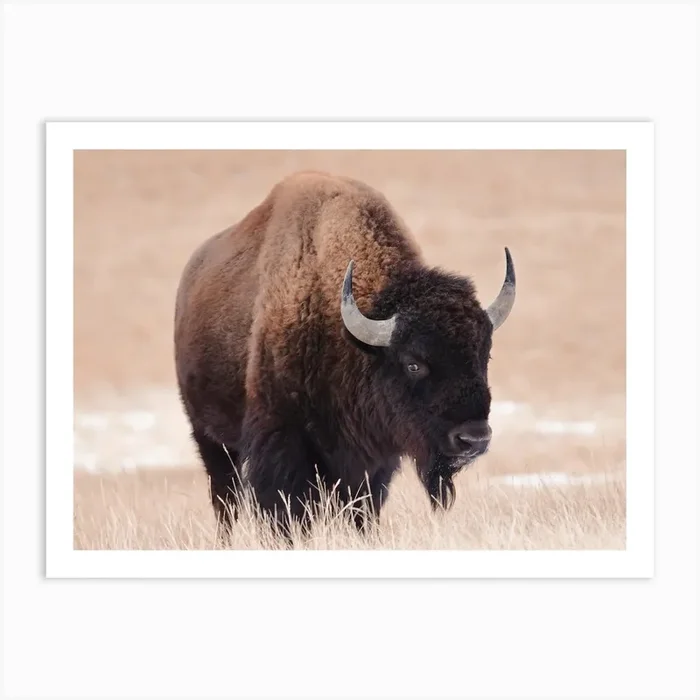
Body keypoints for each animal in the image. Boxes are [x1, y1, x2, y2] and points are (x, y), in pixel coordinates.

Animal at [174, 171, 515, 538]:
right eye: (413, 364)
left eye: (484, 356)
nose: (474, 439)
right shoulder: (282, 442)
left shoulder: (371, 462)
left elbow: (362, 509)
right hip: (210, 438)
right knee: (226, 497)